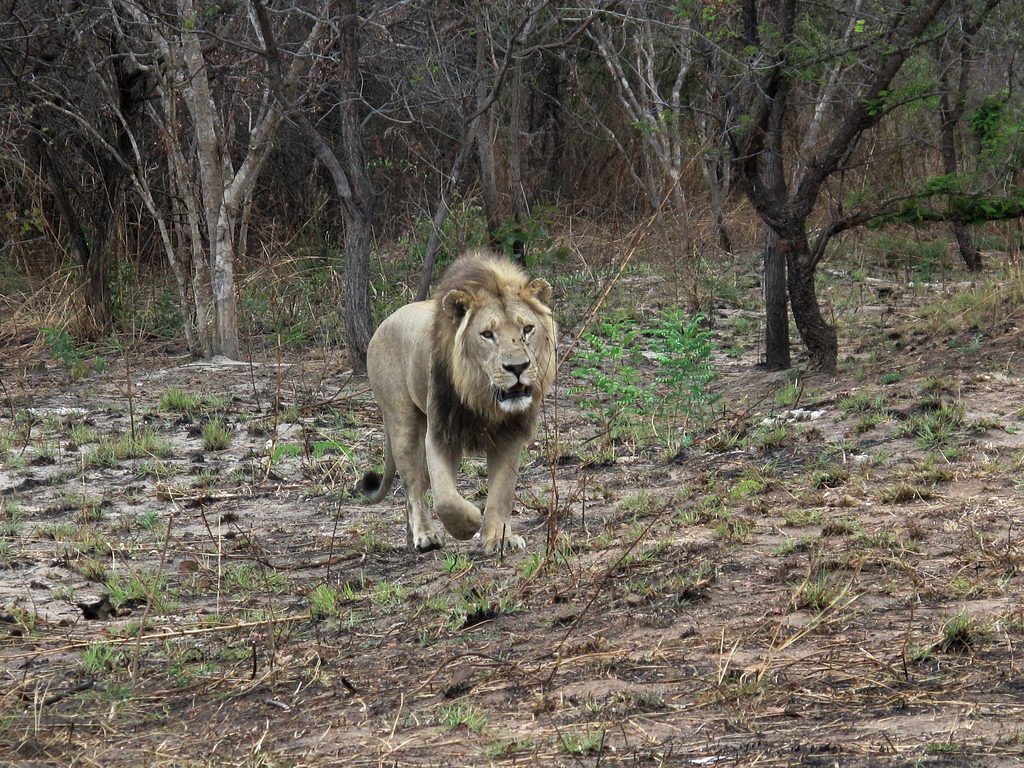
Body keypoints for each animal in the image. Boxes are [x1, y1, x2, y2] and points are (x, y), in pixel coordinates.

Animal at [358, 249, 557, 557]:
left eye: (527, 328)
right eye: (487, 334)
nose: (517, 367)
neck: (483, 399)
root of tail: (385, 322)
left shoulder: (510, 435)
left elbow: (501, 492)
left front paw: (499, 538)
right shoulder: (441, 433)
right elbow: (446, 500)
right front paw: (470, 523)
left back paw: (410, 537)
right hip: (402, 422)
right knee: (413, 487)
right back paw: (425, 535)